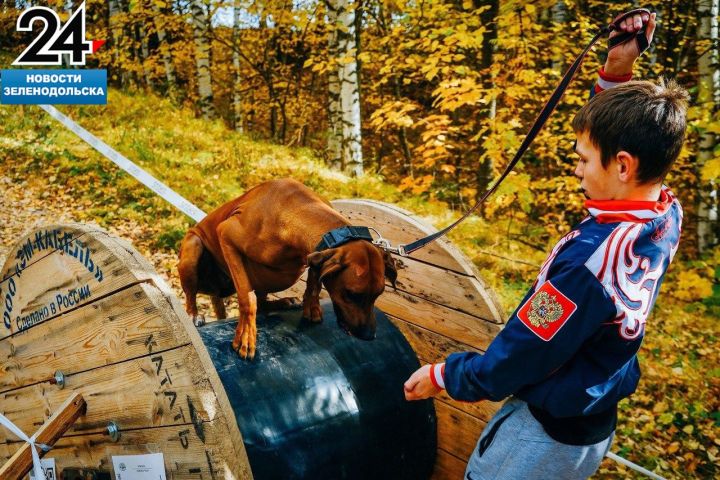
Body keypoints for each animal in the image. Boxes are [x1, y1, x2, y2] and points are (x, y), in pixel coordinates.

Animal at [177, 178, 396, 358]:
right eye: (351, 294)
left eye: (378, 294)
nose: (369, 336)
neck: (294, 211)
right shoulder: (226, 234)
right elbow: (248, 298)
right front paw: (246, 334)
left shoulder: (314, 254)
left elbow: (314, 283)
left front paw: (312, 306)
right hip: (194, 247)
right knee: (191, 296)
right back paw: (193, 315)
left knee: (264, 302)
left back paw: (284, 302)